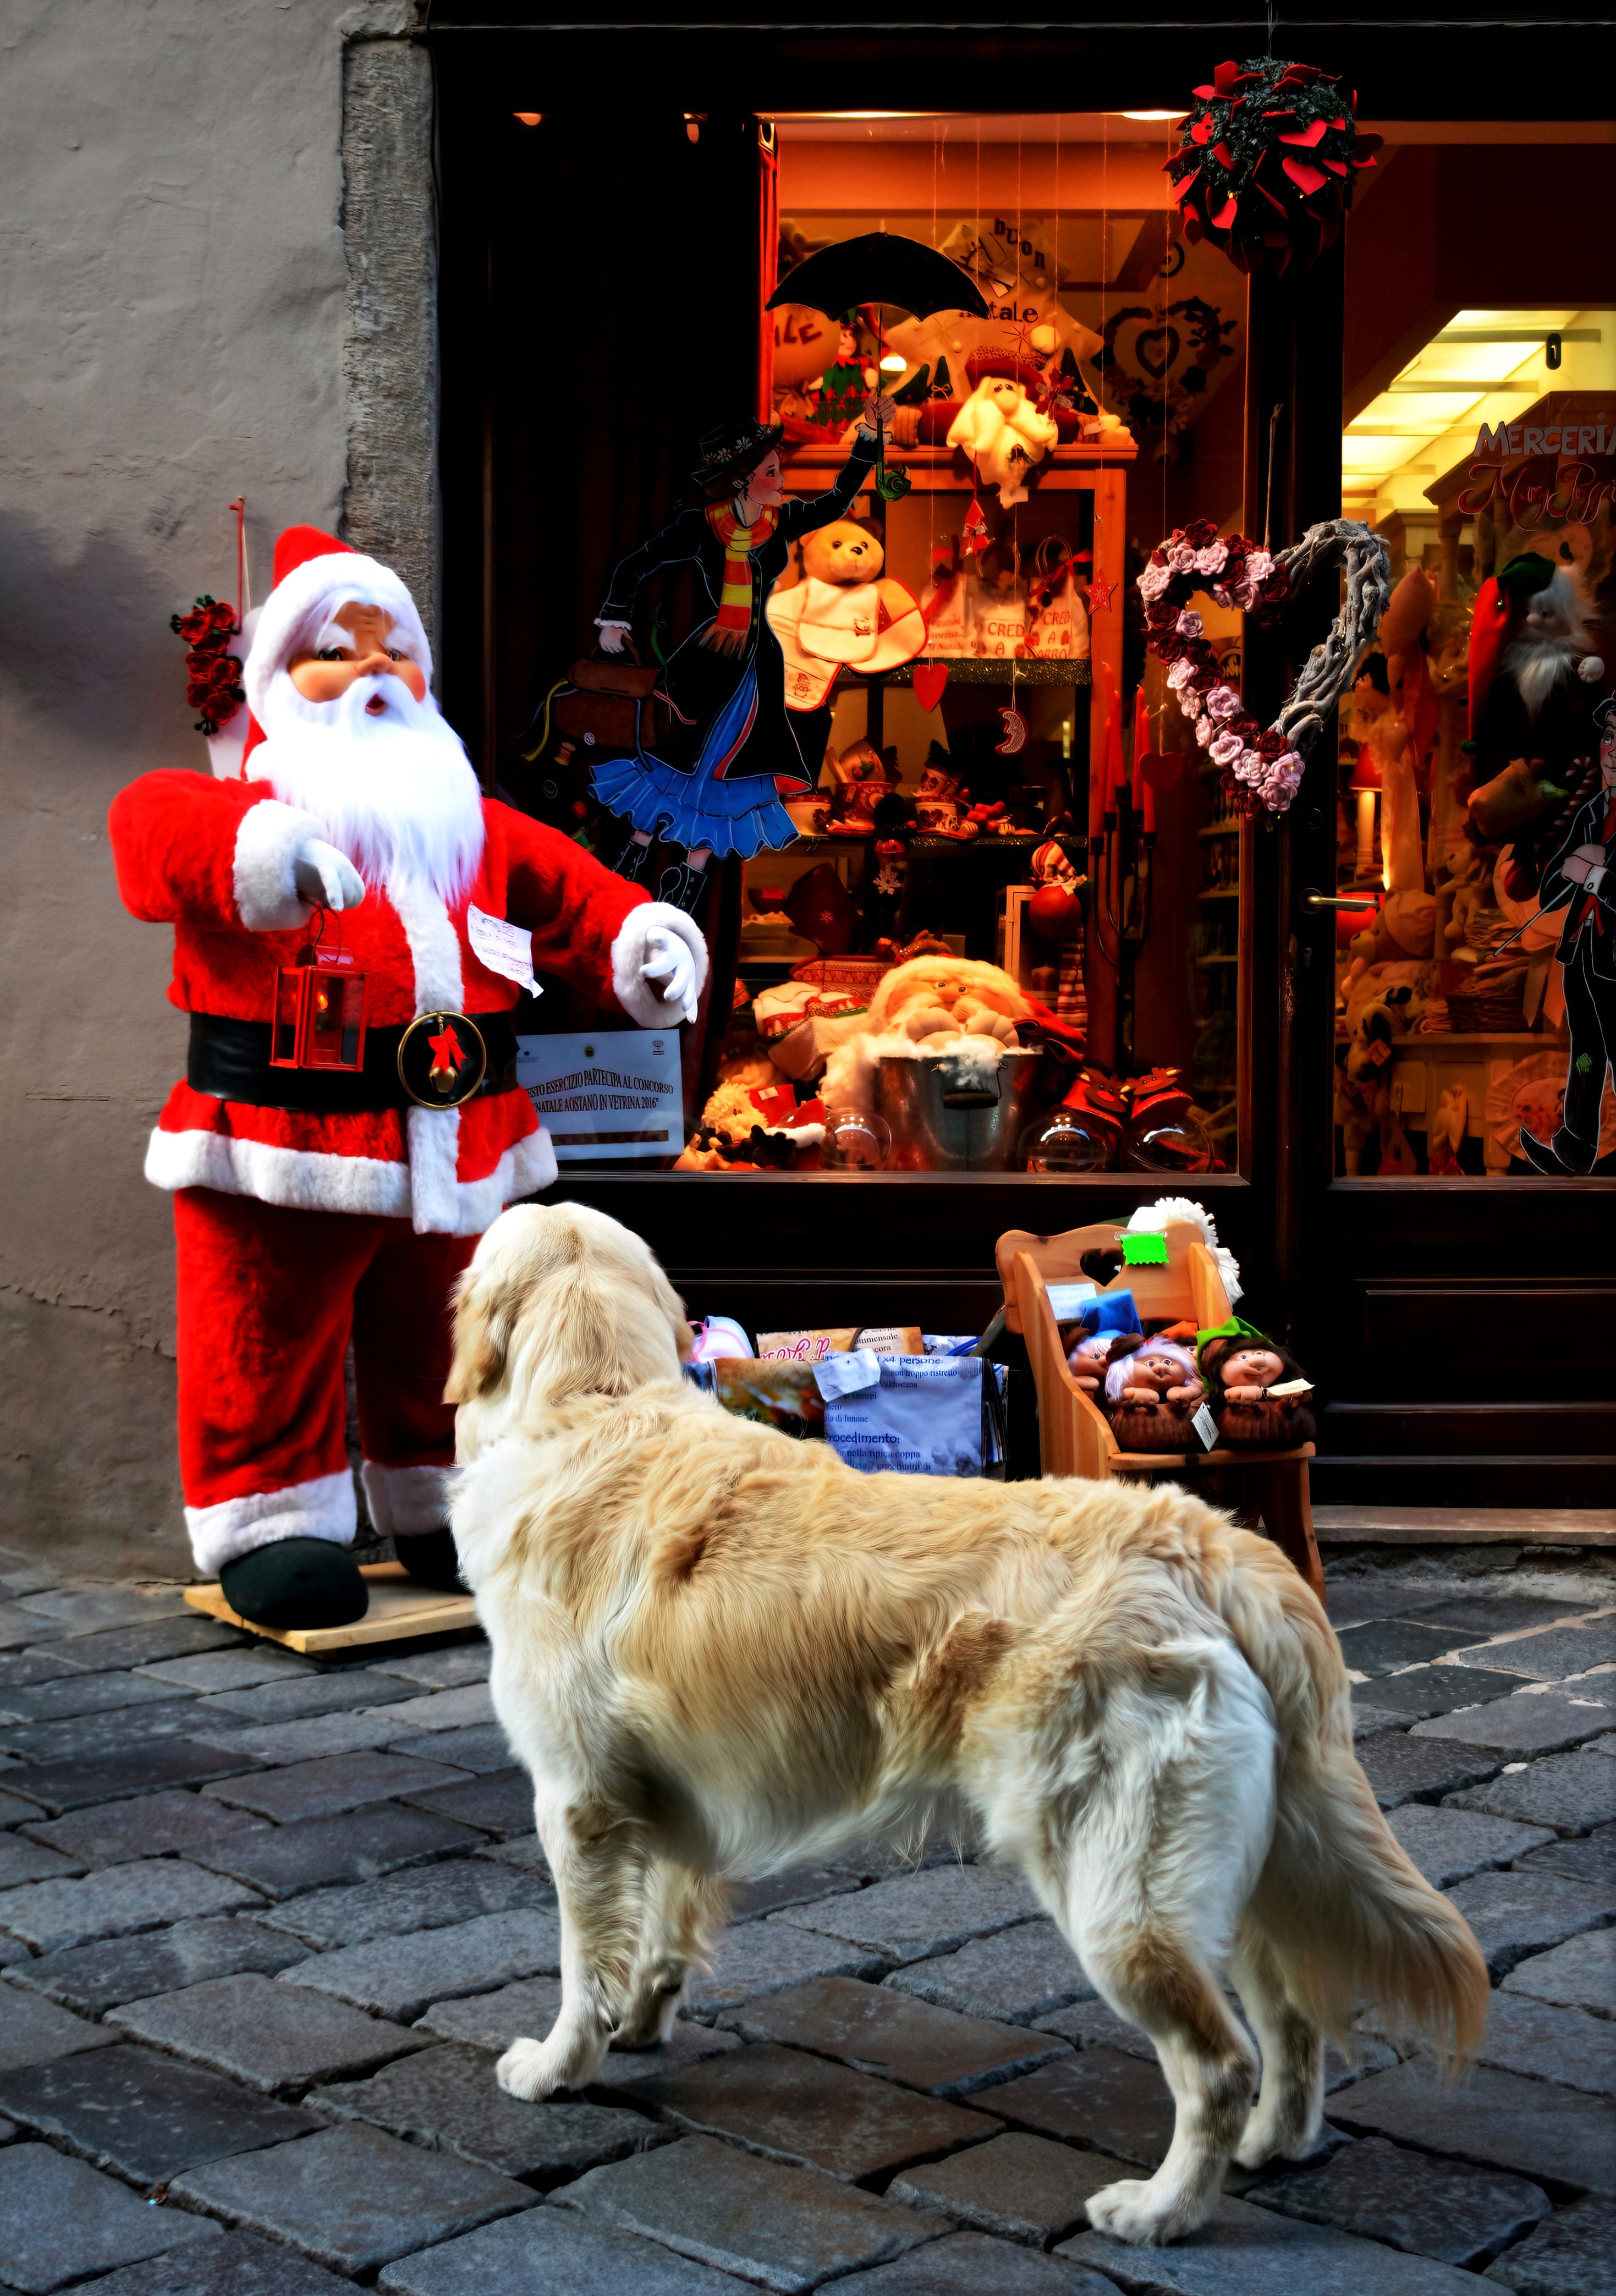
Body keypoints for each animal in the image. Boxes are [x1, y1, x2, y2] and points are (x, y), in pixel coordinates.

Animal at [447, 1212, 1487, 2250]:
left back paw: (1160, 2210)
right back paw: (1271, 2146)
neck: (596, 1398)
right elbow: (656, 1934)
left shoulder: (576, 1803)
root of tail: (1207, 1543)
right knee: (1291, 2019)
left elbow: (582, 1958)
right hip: (1252, 1868)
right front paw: (637, 2025)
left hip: (1115, 1890)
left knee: (1217, 2061)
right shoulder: (666, 1799)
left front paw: (557, 2065)